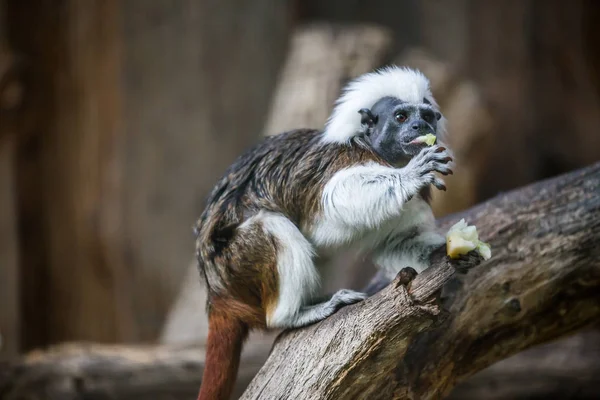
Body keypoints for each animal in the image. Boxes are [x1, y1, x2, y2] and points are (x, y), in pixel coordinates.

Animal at [195, 66, 486, 400]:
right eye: (401, 117)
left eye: (427, 116)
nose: (420, 125)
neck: (387, 158)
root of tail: (217, 294)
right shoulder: (339, 164)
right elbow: (339, 195)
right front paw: (411, 175)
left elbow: (397, 243)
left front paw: (454, 255)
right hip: (234, 262)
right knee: (272, 227)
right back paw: (298, 313)